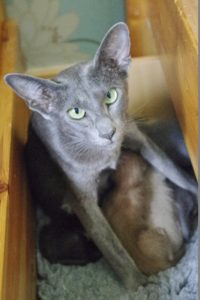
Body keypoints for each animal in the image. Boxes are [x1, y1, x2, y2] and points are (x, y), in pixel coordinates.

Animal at [4, 22, 197, 288]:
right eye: (75, 112)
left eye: (111, 95)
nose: (109, 133)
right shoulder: (81, 198)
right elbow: (112, 246)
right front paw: (137, 285)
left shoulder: (141, 140)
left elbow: (177, 175)